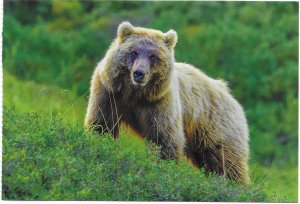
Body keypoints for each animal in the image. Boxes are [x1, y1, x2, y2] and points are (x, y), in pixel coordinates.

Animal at [84, 21, 248, 184]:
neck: (135, 94)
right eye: (134, 52)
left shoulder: (160, 103)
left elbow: (164, 139)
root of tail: (231, 97)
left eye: (153, 56)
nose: (139, 73)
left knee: (225, 162)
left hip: (215, 126)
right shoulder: (109, 93)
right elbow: (102, 125)